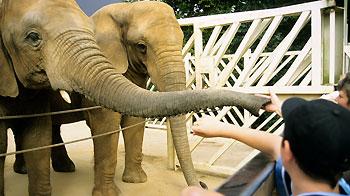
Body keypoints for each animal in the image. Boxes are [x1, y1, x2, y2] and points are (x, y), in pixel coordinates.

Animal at [0, 0, 270, 195]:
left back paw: (56, 169)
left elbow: (135, 122)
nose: (202, 185)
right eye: (142, 47)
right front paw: (110, 194)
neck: (125, 8)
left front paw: (136, 181)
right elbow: (106, 123)